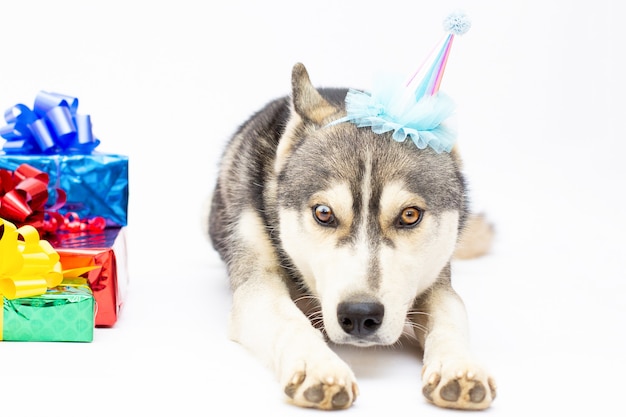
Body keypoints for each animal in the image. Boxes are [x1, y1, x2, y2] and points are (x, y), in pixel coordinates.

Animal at [207, 62, 494, 410]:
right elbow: (289, 320)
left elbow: (450, 316)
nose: (360, 315)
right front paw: (318, 367)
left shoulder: (437, 279)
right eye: (323, 213)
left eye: (410, 215)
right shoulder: (257, 281)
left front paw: (459, 366)